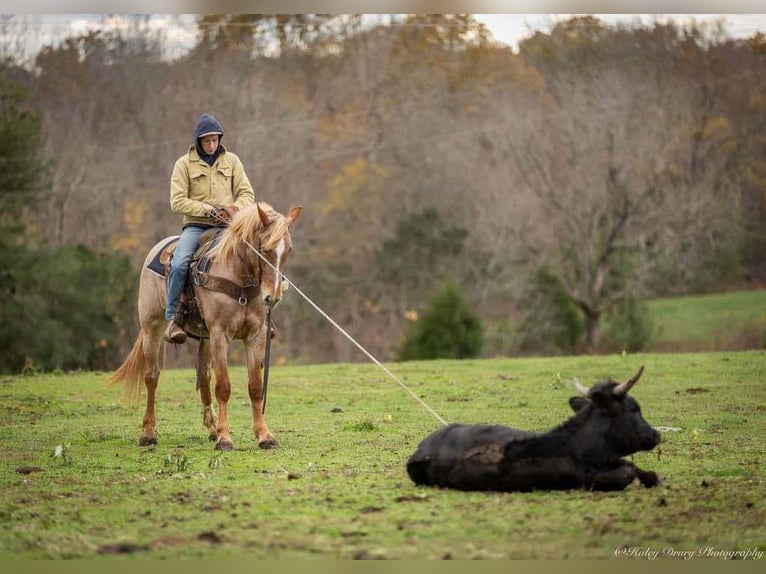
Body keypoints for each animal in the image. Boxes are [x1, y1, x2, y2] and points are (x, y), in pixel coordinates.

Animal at [111, 205, 304, 452]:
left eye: (288, 249)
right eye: (265, 249)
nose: (272, 297)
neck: (238, 277)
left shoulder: (255, 335)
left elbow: (254, 386)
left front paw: (264, 436)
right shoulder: (221, 335)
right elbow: (223, 387)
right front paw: (225, 439)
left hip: (206, 337)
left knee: (203, 375)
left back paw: (212, 429)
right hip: (152, 328)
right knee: (151, 377)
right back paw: (148, 433)